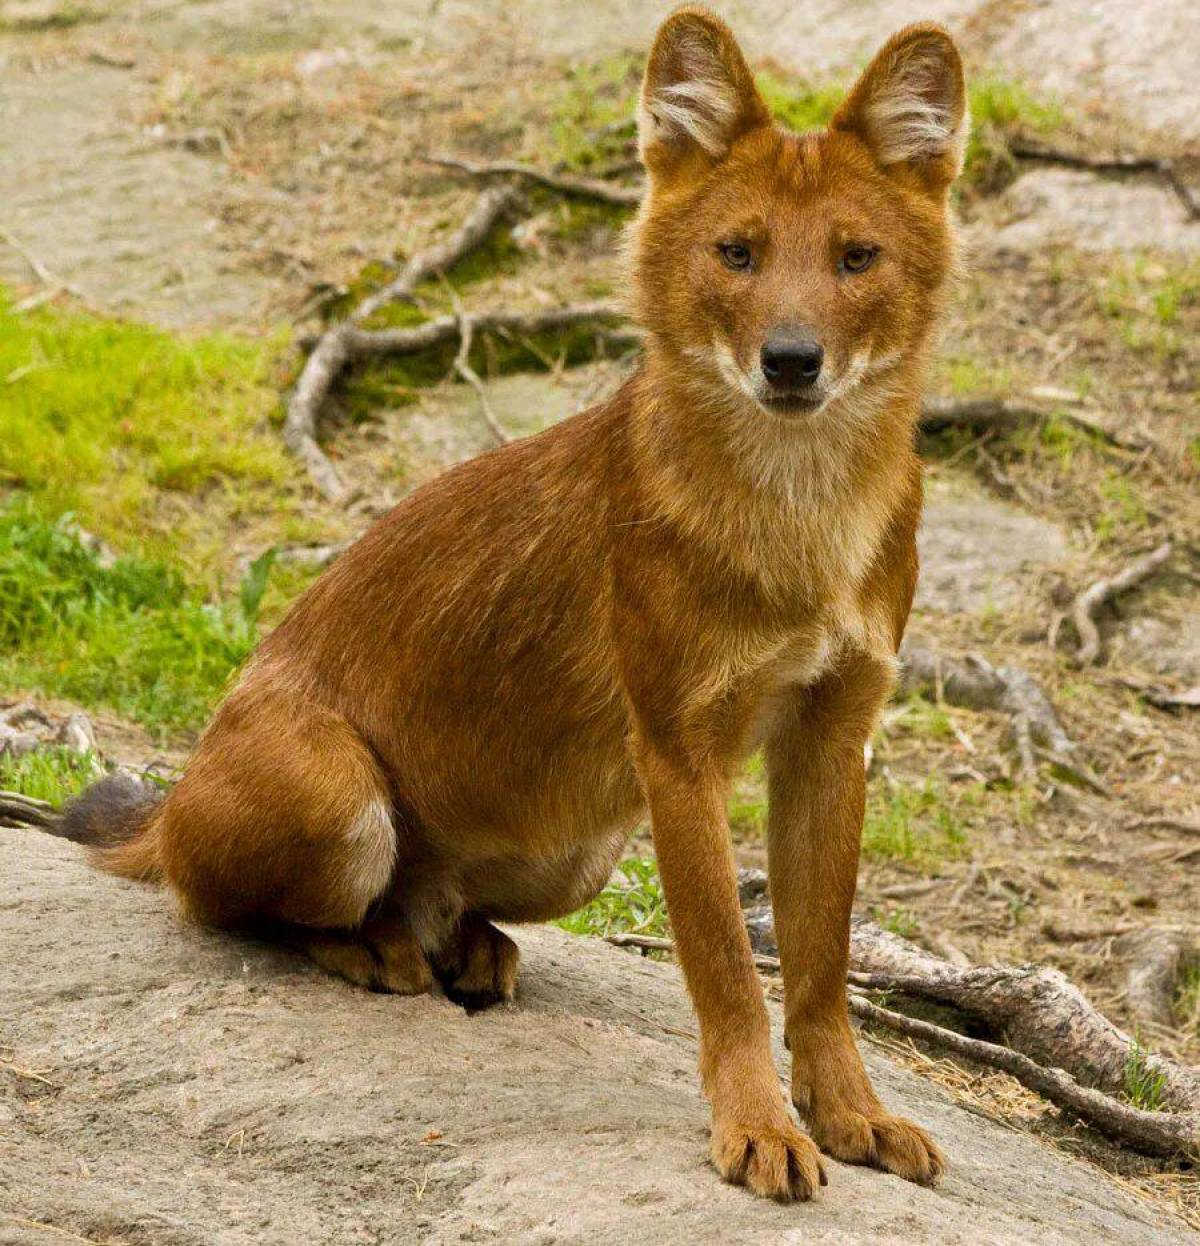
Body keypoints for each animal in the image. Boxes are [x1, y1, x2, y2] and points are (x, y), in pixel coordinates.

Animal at [63, 4, 966, 1201]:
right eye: (737, 253)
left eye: (856, 258)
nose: (790, 360)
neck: (800, 515)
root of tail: (170, 804)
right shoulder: (675, 750)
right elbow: (729, 963)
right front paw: (759, 1126)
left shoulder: (835, 731)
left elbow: (821, 960)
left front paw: (854, 1111)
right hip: (337, 795)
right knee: (216, 902)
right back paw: (372, 947)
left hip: (581, 849)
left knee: (444, 903)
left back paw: (464, 943)